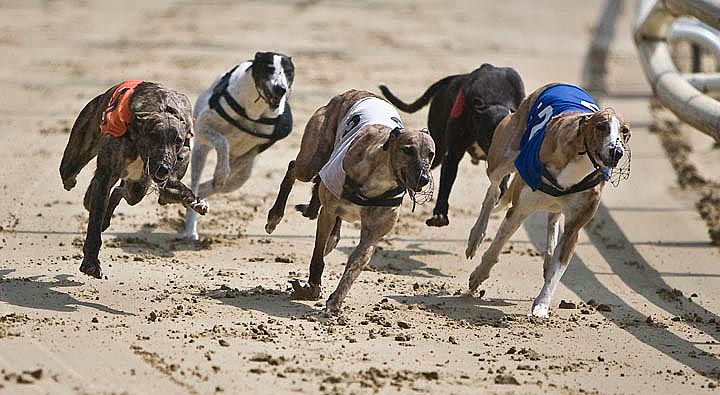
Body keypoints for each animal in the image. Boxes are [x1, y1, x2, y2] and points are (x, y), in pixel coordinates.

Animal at [59, 81, 208, 278]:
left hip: (137, 187)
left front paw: (196, 201)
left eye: (178, 140)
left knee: (120, 191)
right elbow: (95, 221)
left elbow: (173, 189)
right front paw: (91, 263)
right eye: (154, 136)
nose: (163, 168)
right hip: (74, 160)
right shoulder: (106, 175)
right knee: (70, 176)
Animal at [264, 89, 434, 316]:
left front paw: (336, 300)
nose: (423, 178)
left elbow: (356, 263)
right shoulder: (327, 213)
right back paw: (275, 216)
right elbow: (317, 255)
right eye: (407, 150)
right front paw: (312, 286)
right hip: (312, 159)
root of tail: (351, 92)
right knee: (294, 168)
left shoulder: (373, 234)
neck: (379, 179)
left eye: (431, 154)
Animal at [380, 63, 524, 227]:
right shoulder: (453, 154)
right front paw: (440, 215)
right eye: (489, 137)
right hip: (436, 152)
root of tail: (455, 78)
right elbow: (446, 184)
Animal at [464, 83, 628, 318]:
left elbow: (557, 270)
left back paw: (548, 256)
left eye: (625, 131)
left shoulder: (574, 230)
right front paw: (478, 275)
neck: (578, 161)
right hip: (502, 158)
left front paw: (542, 304)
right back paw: (476, 235)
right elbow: (497, 245)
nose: (616, 152)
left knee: (553, 218)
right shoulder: (519, 210)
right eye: (601, 126)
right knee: (493, 191)